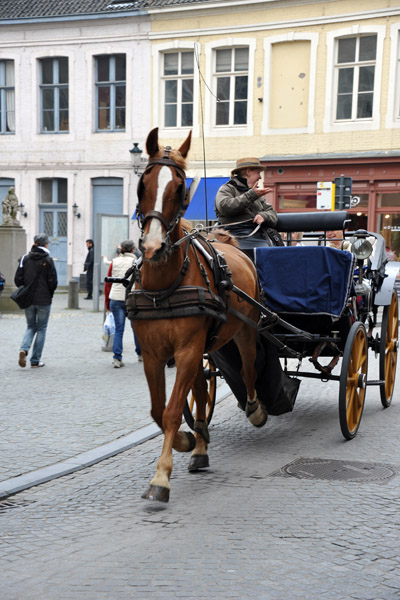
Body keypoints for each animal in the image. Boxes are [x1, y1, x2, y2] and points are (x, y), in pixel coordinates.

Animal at [128, 127, 266, 502]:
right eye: (142, 184)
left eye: (180, 187)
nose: (152, 247)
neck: (165, 286)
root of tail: (232, 243)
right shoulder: (153, 354)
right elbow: (158, 410)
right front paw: (187, 441)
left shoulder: (188, 349)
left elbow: (173, 410)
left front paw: (161, 477)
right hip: (206, 348)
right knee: (203, 388)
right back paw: (201, 445)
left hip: (243, 331)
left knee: (248, 369)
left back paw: (255, 410)